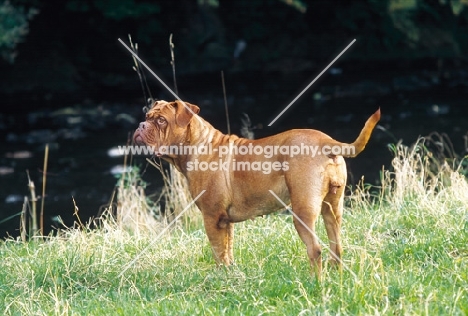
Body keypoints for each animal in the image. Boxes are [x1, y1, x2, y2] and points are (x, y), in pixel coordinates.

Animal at [133, 100, 380, 278]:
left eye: (161, 121)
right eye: (147, 117)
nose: (141, 126)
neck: (197, 145)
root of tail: (327, 142)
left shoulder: (212, 218)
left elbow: (218, 253)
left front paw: (220, 278)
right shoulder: (225, 222)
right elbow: (228, 251)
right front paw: (230, 275)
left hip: (303, 212)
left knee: (315, 250)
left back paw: (315, 283)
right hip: (333, 209)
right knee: (336, 248)